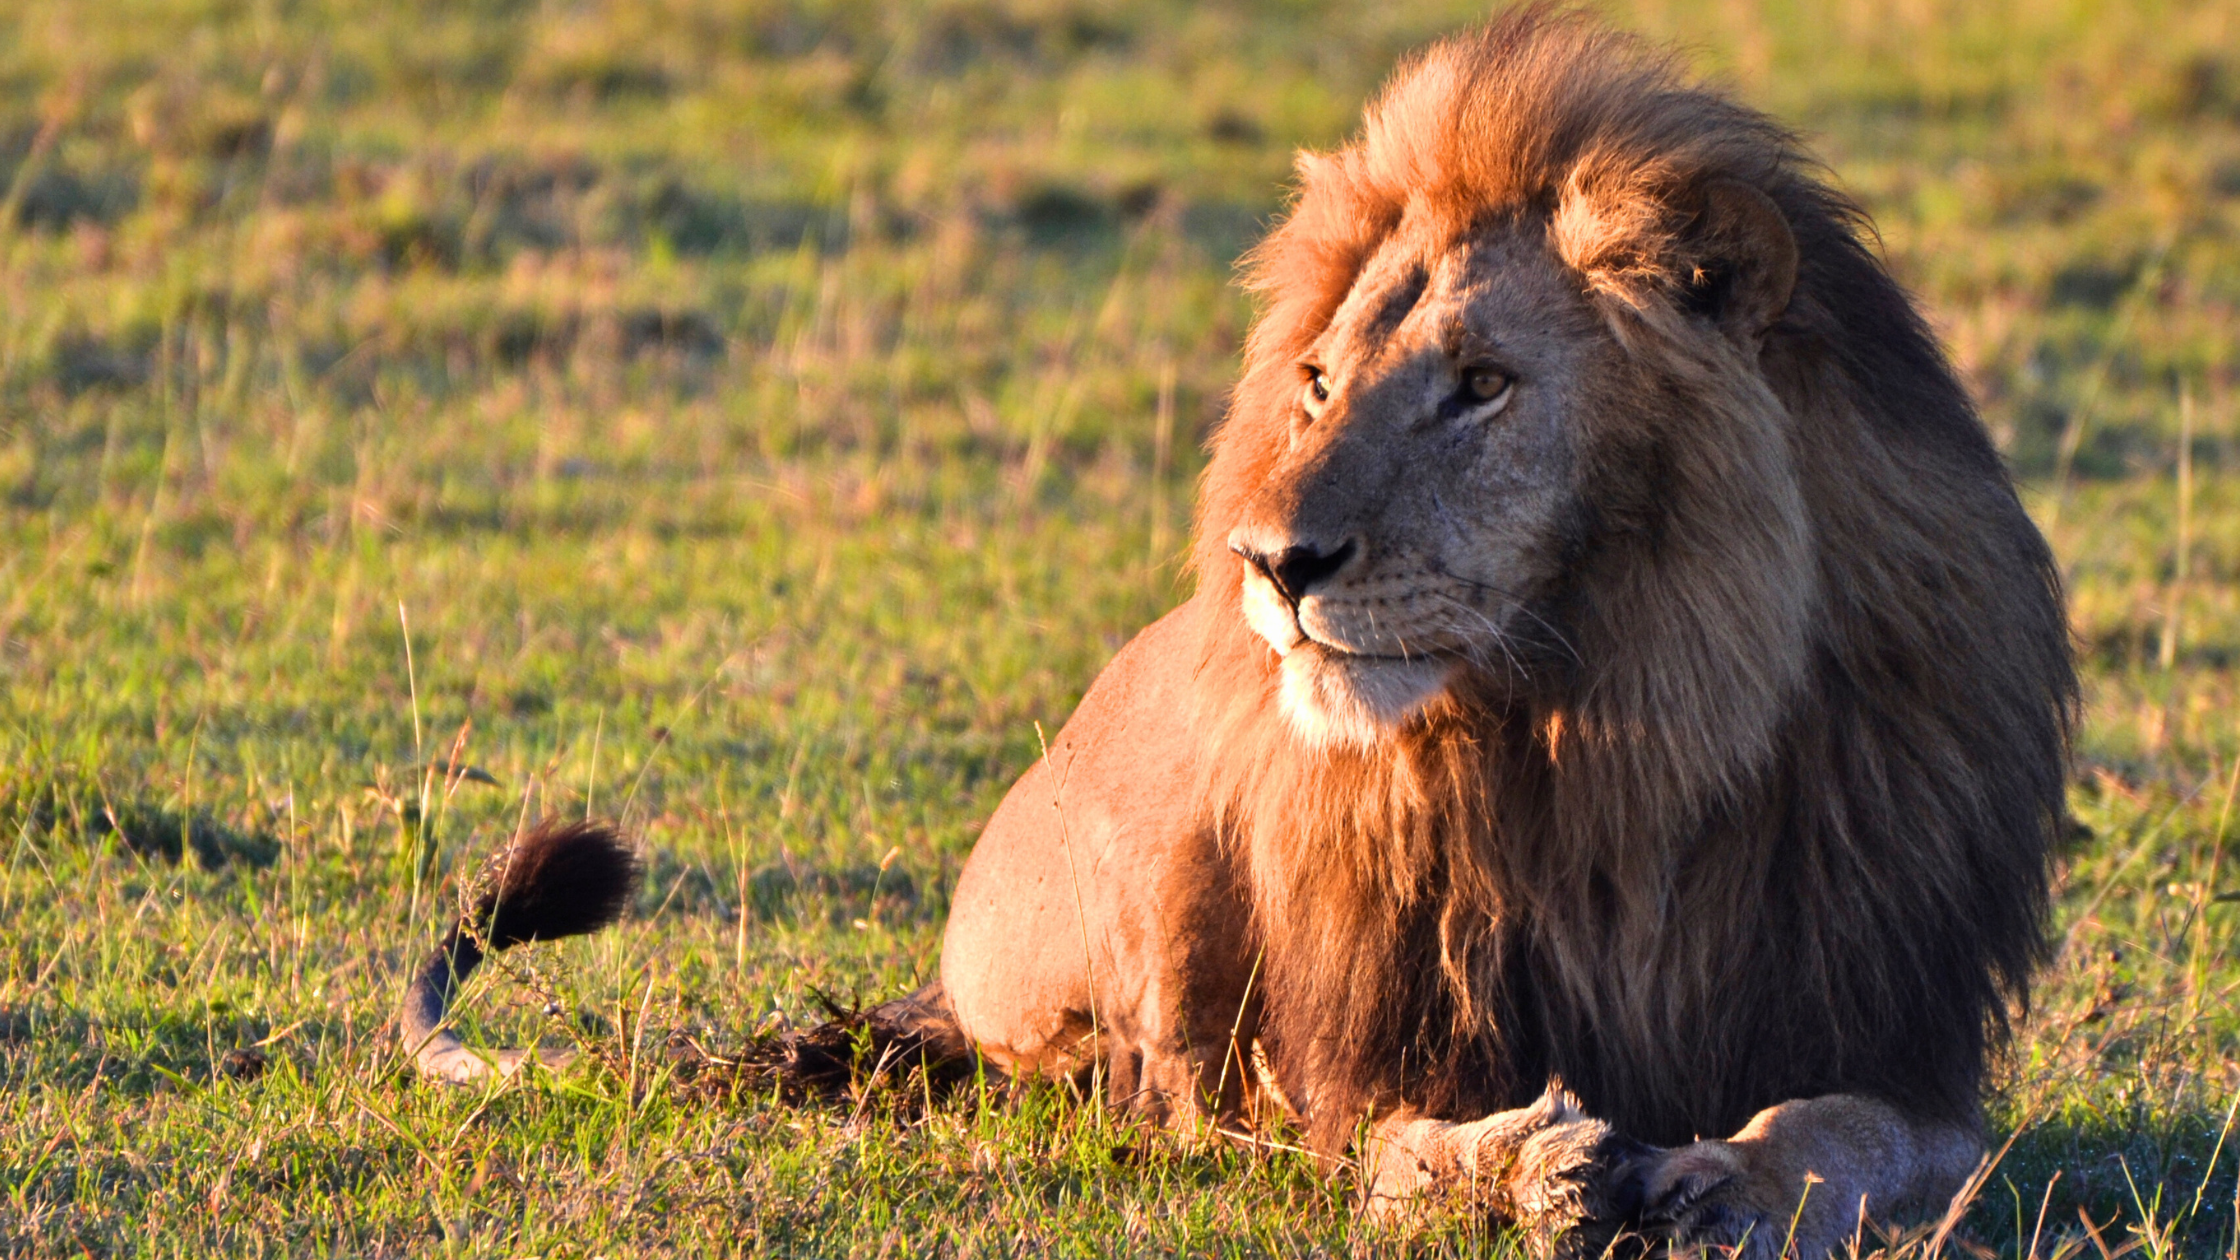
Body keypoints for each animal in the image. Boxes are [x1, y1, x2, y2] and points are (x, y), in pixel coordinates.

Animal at [400, 10, 2075, 1256]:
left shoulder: (1903, 1035)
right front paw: (1528, 1166)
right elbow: (1389, 1144)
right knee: (1158, 1086)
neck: (1617, 727)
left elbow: (1849, 1132)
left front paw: (1728, 1179)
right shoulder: (1368, 1041)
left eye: (1481, 385)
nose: (1272, 561)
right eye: (1321, 381)